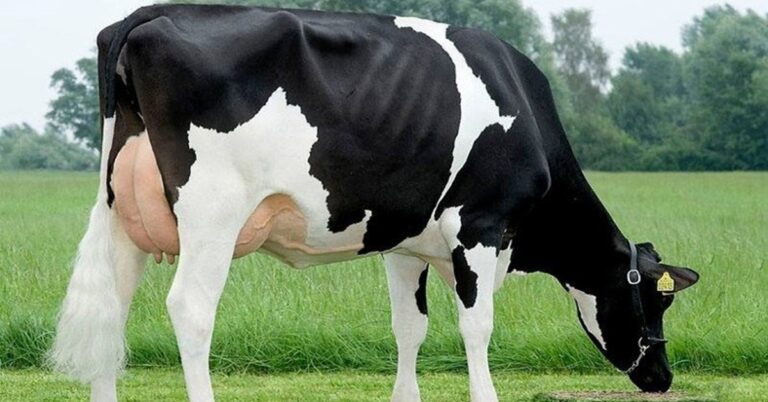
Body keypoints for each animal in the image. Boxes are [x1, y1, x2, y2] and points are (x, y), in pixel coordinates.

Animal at [50, 5, 700, 402]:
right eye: (656, 300)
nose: (662, 376)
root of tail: (151, 13)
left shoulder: (406, 244)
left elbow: (409, 327)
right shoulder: (480, 228)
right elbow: (477, 326)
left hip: (124, 213)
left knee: (113, 308)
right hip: (213, 210)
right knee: (190, 309)